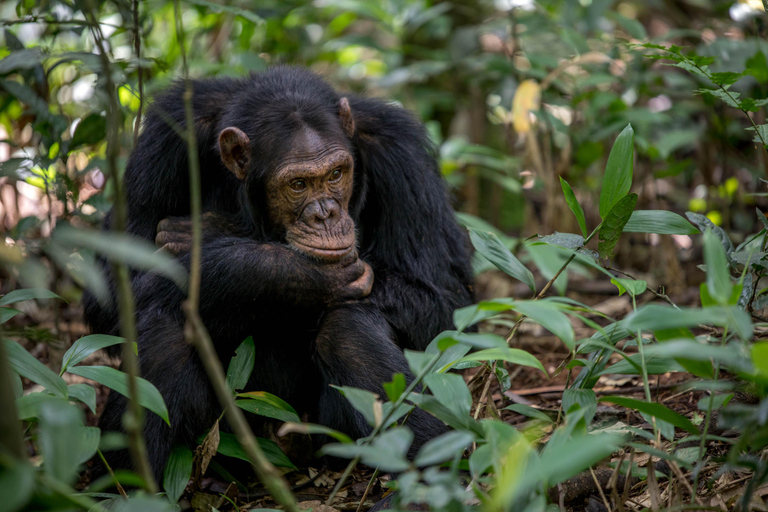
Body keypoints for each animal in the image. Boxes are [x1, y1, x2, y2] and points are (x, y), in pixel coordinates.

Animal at [87, 66, 476, 482]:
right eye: (298, 184)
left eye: (336, 174)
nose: (325, 214)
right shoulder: (166, 137)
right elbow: (114, 289)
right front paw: (298, 273)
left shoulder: (402, 154)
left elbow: (444, 299)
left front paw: (208, 231)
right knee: (164, 327)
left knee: (347, 328)